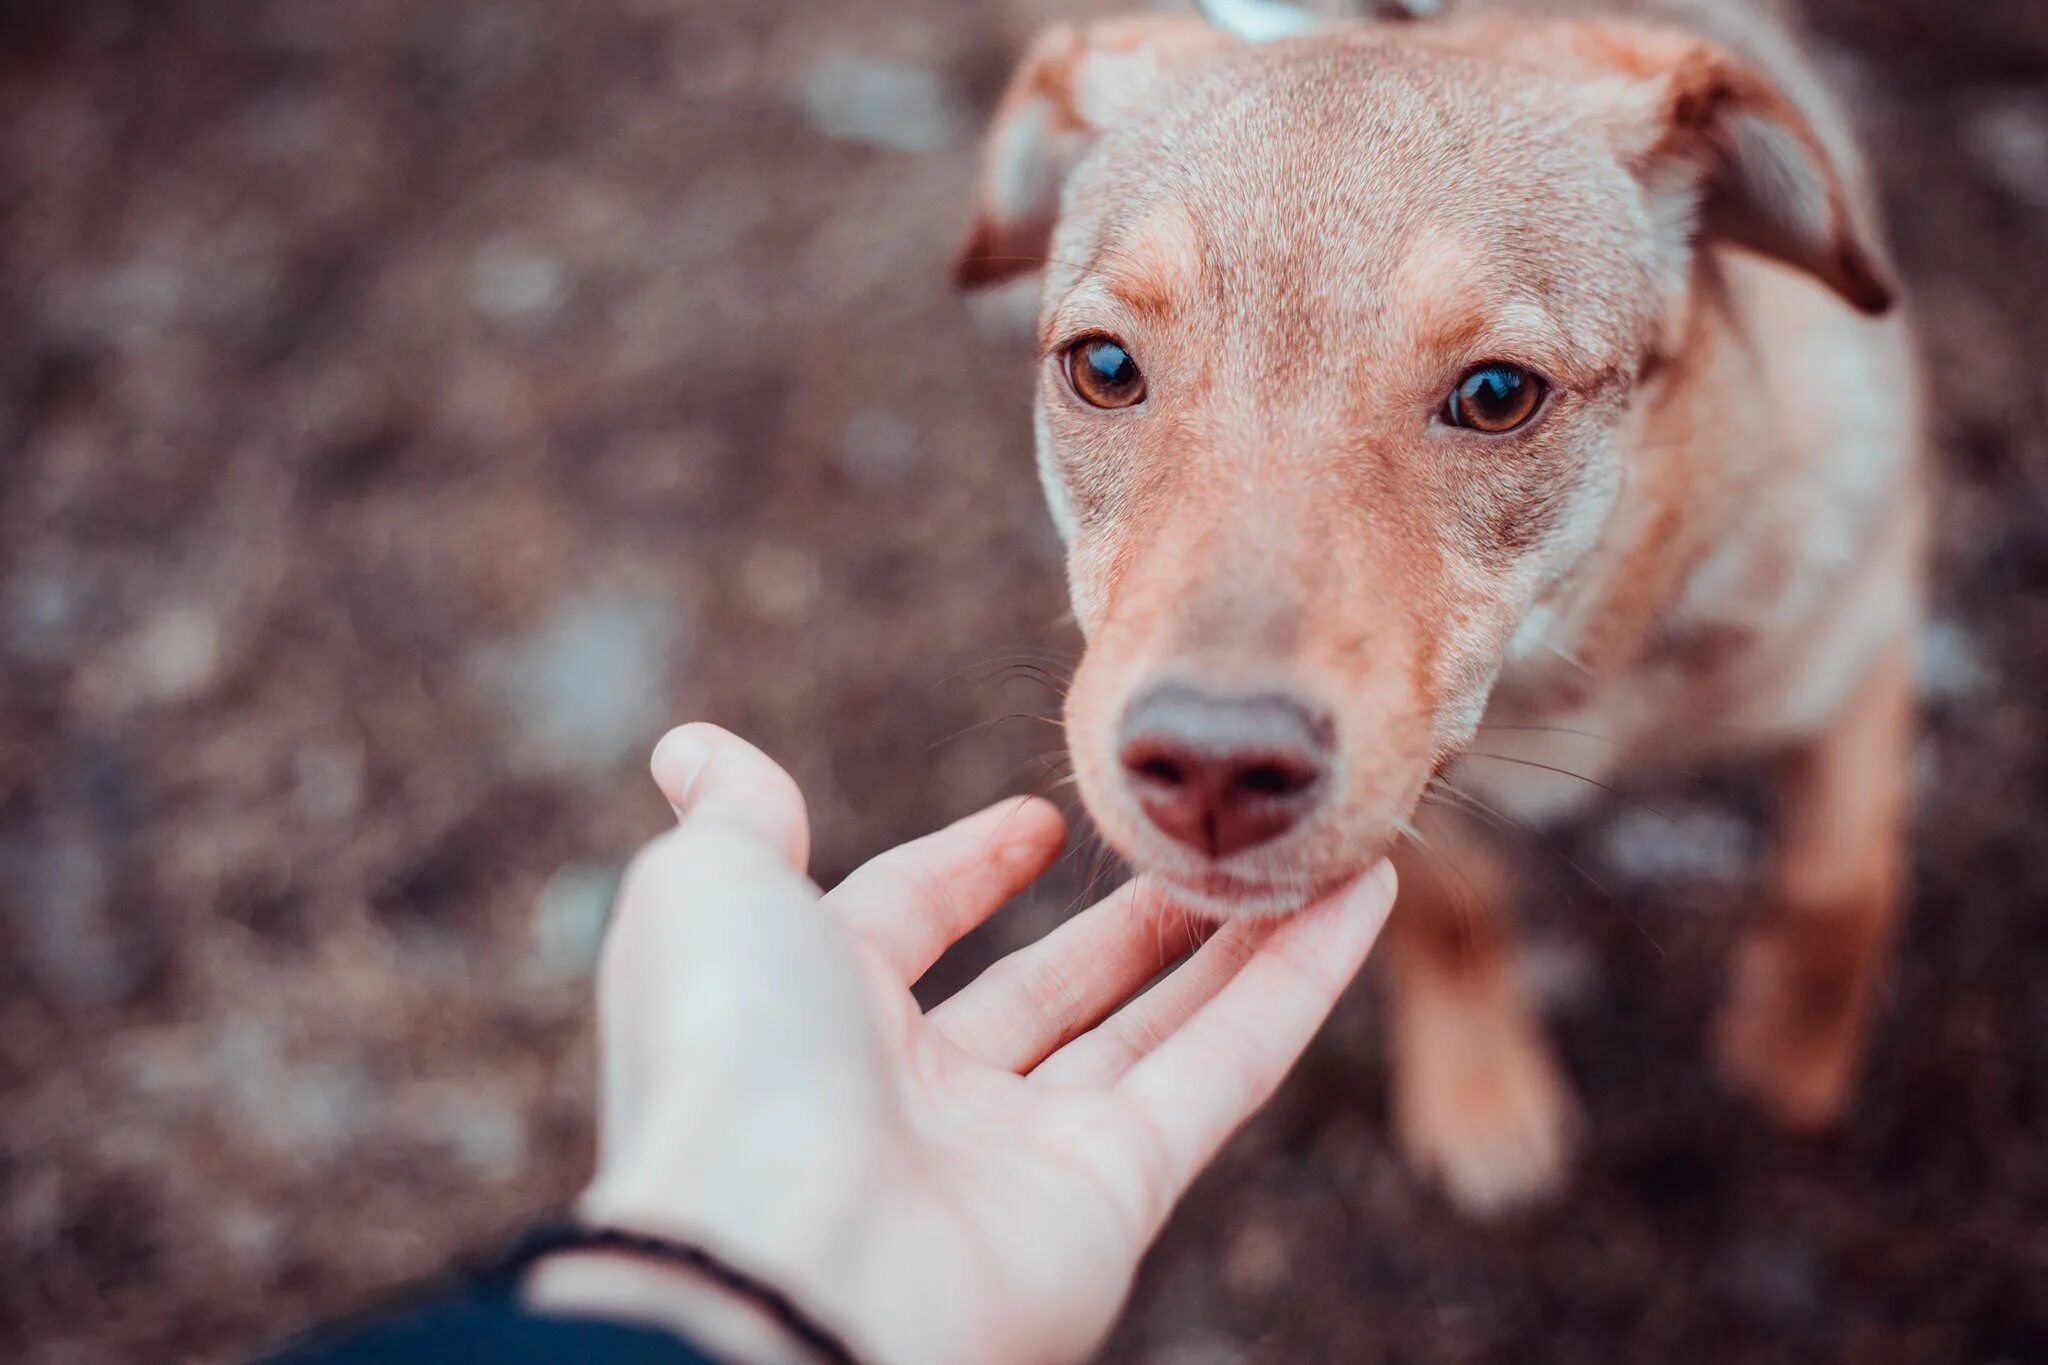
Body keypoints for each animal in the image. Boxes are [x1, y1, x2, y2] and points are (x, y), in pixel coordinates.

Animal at [954, 0, 1916, 1219]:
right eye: (1105, 368)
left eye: (1498, 395)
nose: (1211, 770)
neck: (1574, 666)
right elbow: (1458, 913)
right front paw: (1482, 1097)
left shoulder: (1865, 622)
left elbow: (1842, 882)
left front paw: (1791, 1056)